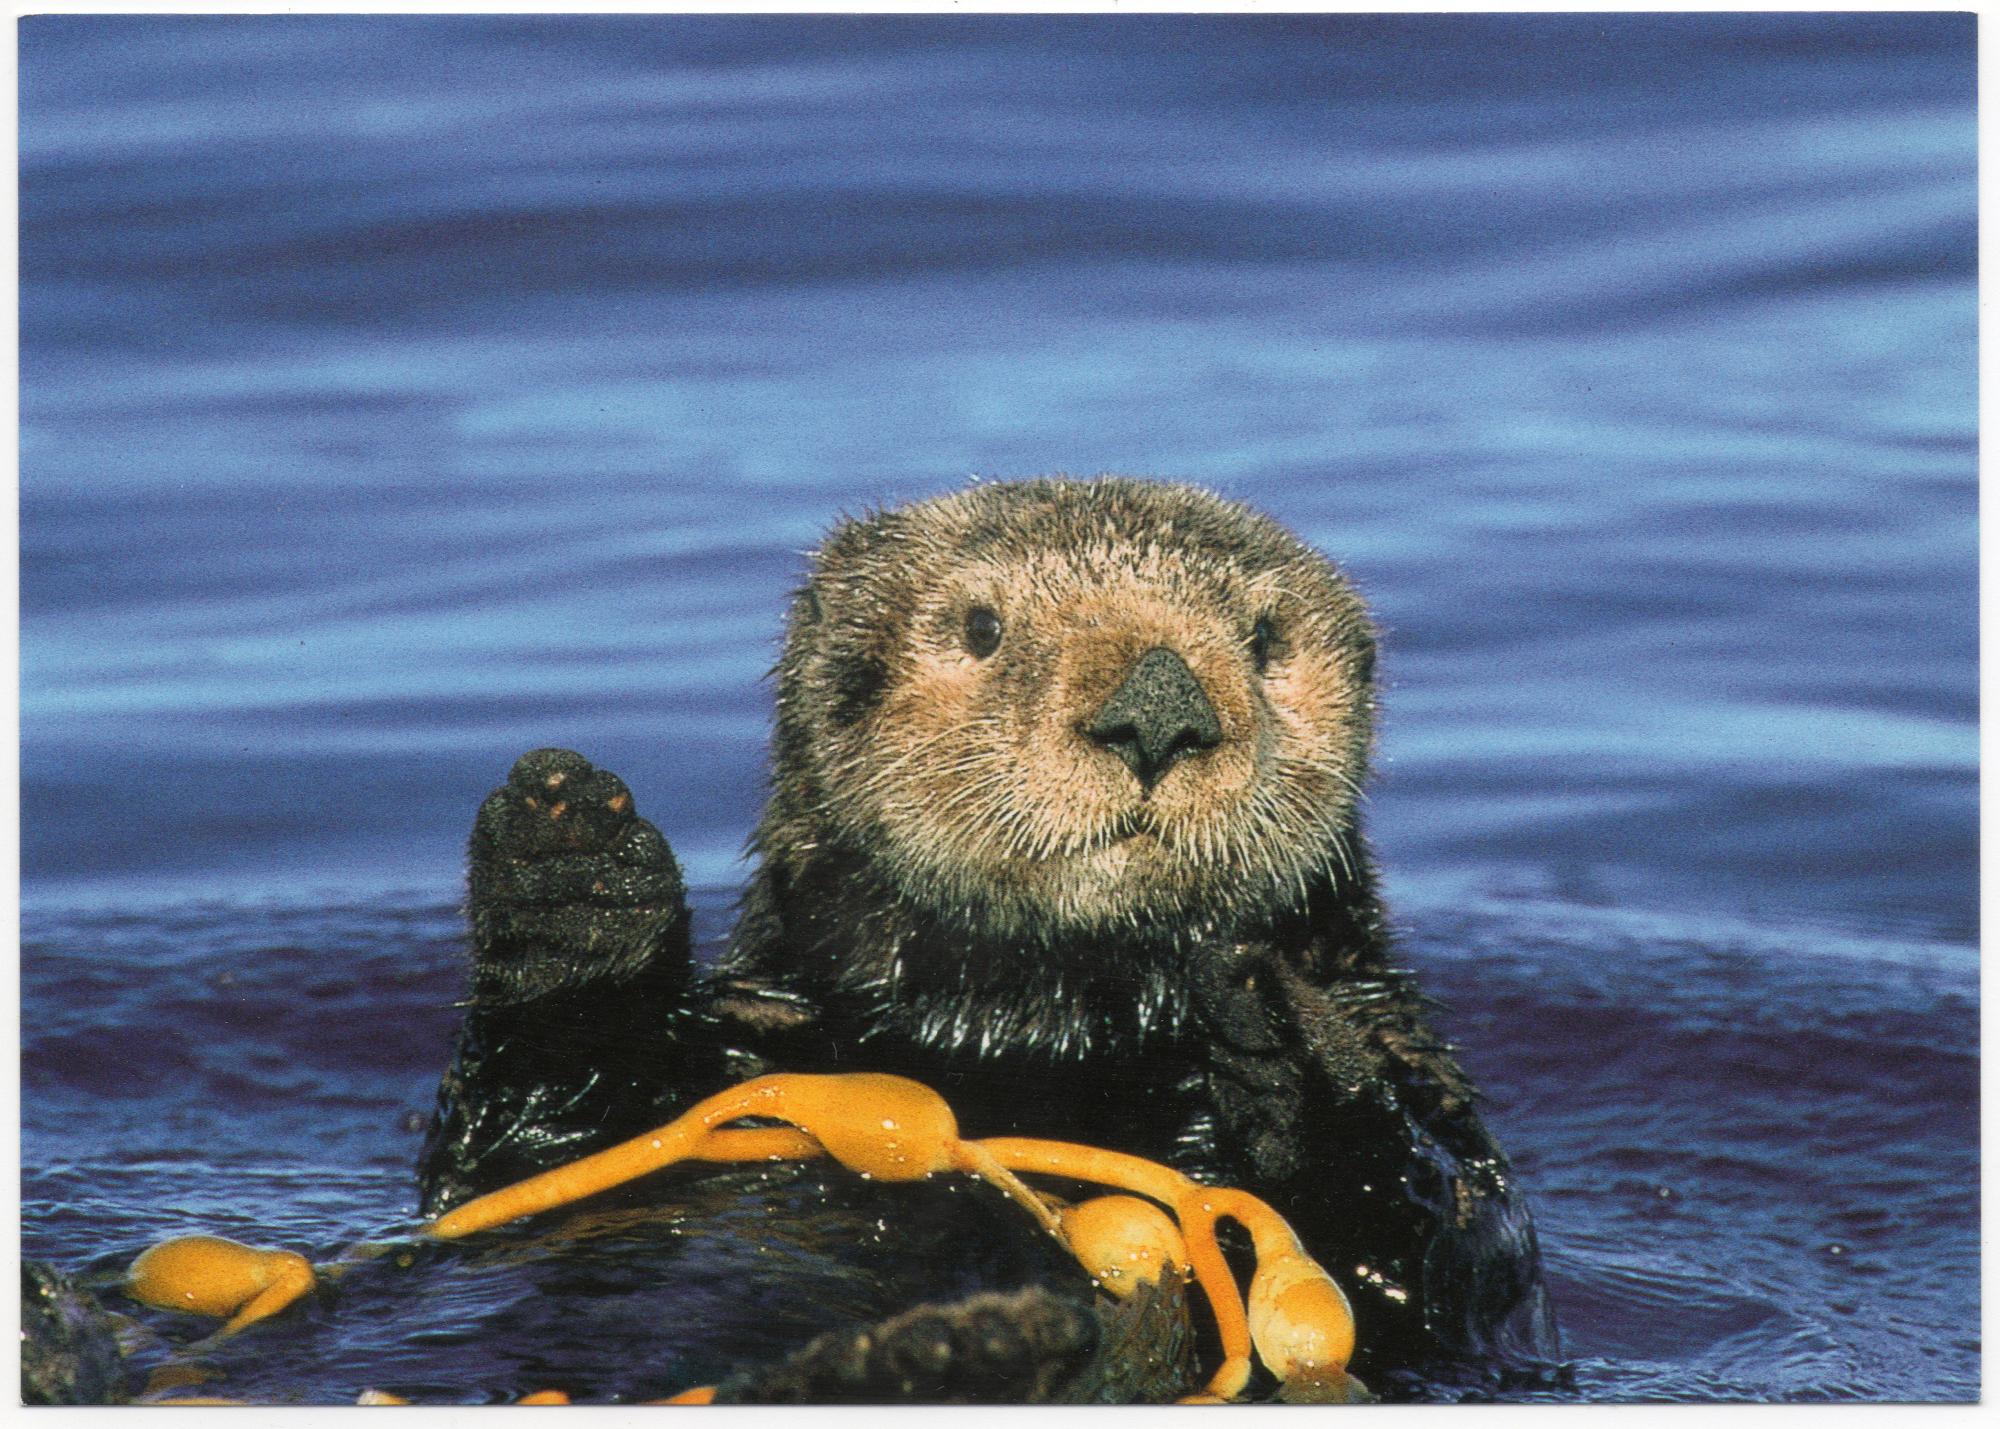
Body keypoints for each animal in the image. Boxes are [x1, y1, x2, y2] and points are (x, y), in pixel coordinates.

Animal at [417, 477, 1557, 1400]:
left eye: (1266, 641)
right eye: (980, 627)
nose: (1158, 706)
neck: (1037, 1024)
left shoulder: (1421, 1078)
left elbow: (1453, 1260)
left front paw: (1287, 1033)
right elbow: (526, 1164)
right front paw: (571, 869)